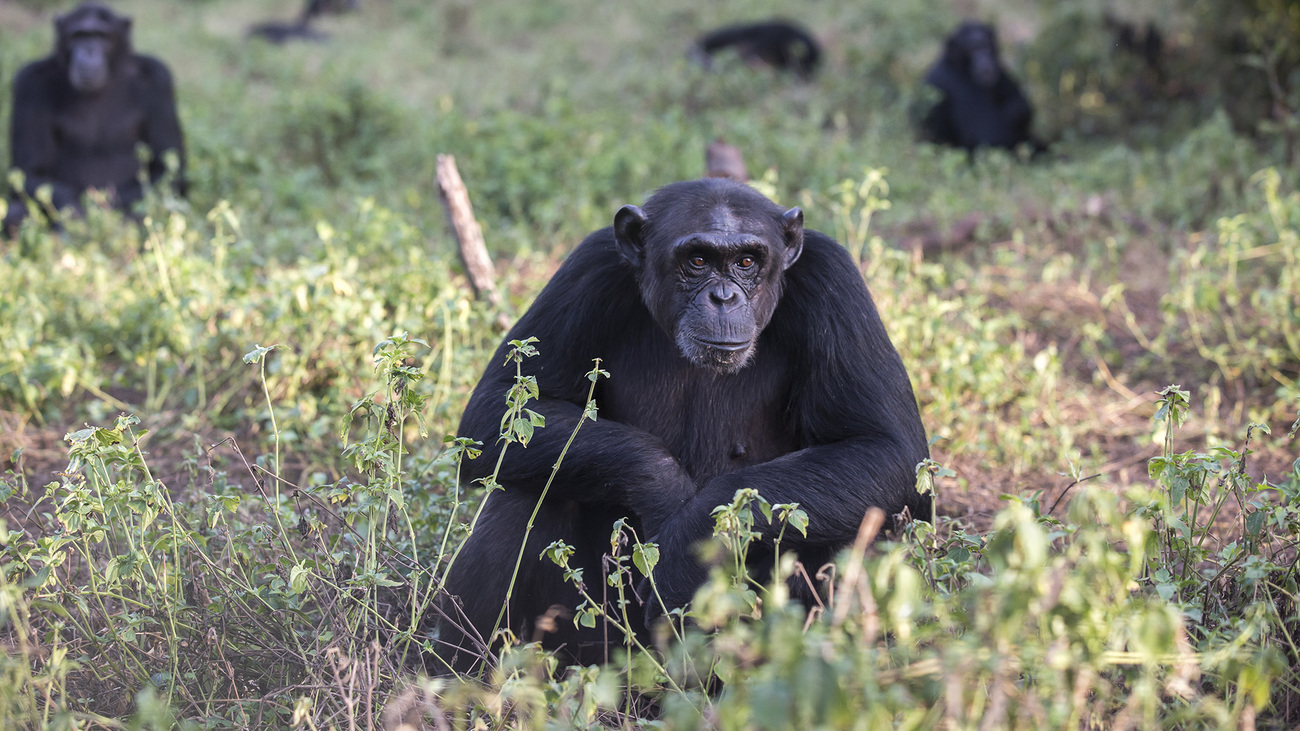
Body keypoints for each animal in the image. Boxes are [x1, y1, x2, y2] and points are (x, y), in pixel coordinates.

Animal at [3, 2, 185, 230]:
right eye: (78, 36)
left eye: (101, 36)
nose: (89, 50)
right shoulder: (29, 83)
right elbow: (31, 170)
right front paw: (77, 218)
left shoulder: (158, 78)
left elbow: (165, 169)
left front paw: (111, 219)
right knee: (17, 211)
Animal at [439, 179, 935, 671]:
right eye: (697, 261)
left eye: (746, 262)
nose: (723, 297)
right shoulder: (588, 268)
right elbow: (499, 408)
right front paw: (663, 488)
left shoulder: (834, 280)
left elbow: (884, 446)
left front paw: (686, 547)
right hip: (592, 649)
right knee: (526, 490)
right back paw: (458, 676)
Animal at [920, 21, 1040, 152]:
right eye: (972, 49)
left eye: (986, 45)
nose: (984, 57)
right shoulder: (961, 86)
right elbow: (989, 133)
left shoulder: (1001, 72)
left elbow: (1021, 105)